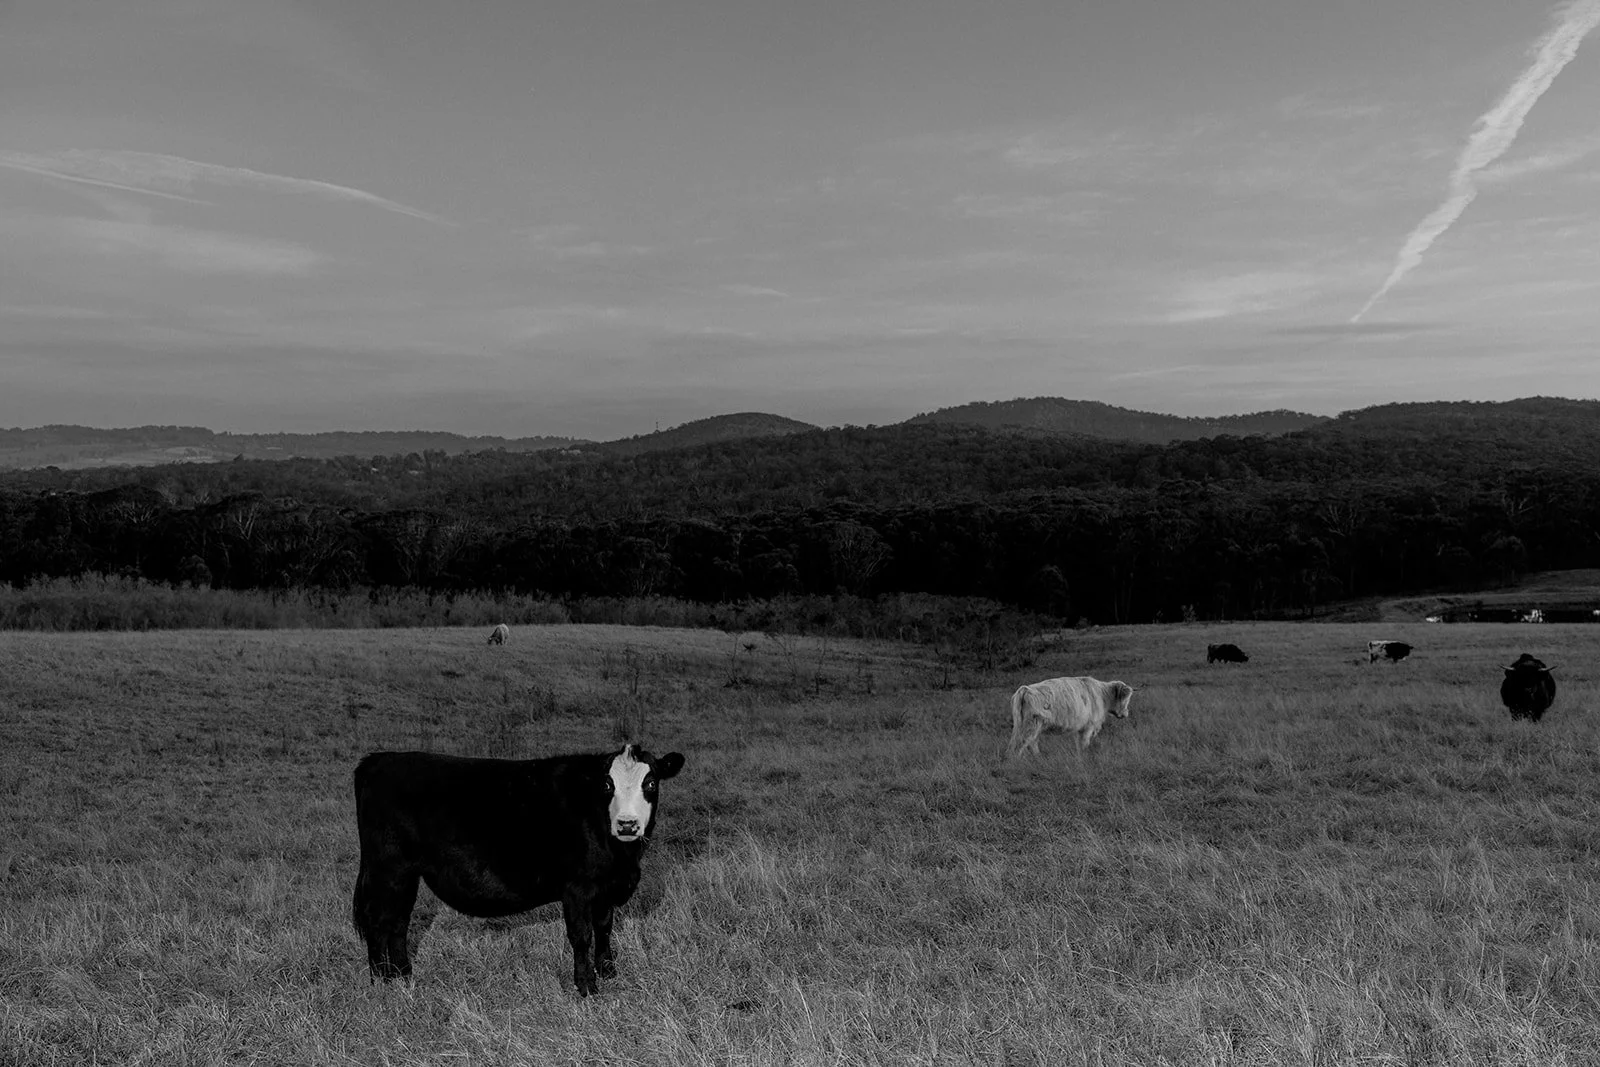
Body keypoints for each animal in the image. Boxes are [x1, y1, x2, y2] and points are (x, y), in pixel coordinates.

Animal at [351, 743, 686, 995]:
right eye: (607, 784)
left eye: (651, 783)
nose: (627, 824)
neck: (623, 858)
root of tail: (379, 759)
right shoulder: (577, 889)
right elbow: (582, 936)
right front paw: (586, 986)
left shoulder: (605, 887)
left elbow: (604, 928)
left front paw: (607, 971)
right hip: (388, 869)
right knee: (378, 920)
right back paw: (380, 980)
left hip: (405, 875)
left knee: (398, 922)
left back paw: (403, 975)